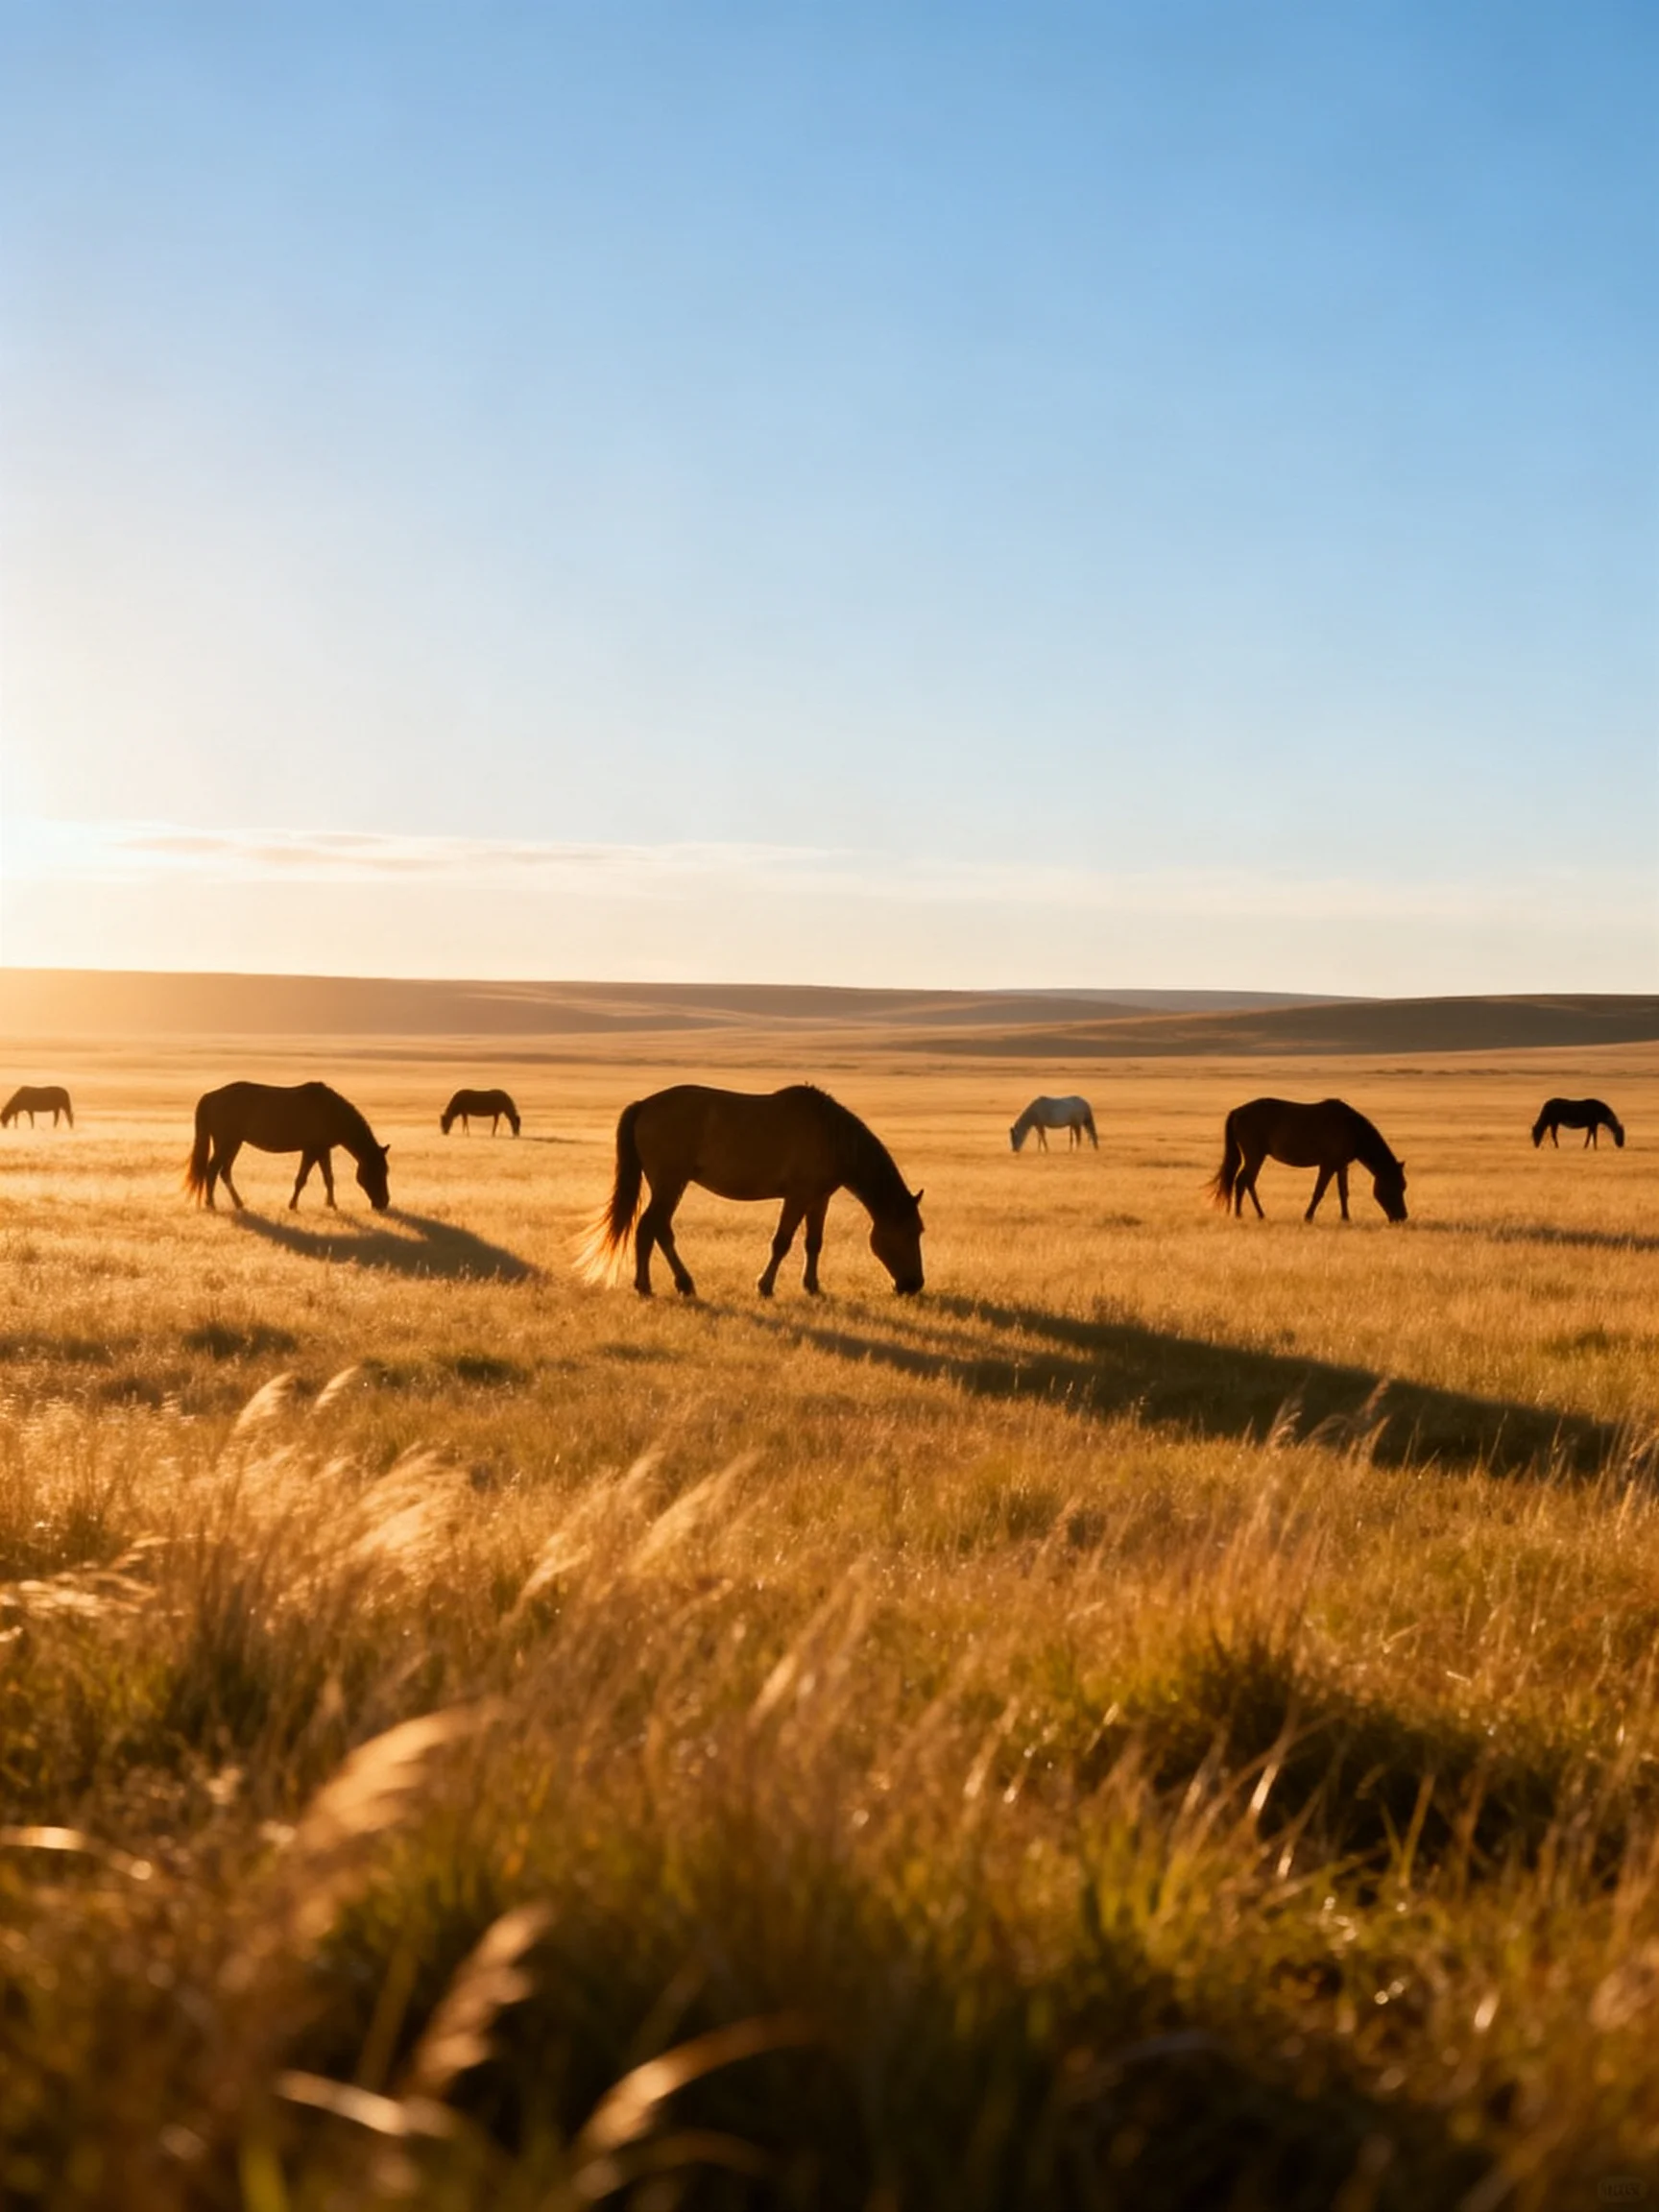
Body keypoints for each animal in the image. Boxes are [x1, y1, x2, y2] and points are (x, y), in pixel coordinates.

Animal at [184, 1082, 390, 1212]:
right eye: (377, 1171)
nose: (384, 1203)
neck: (331, 1112)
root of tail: (210, 1097)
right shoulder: (311, 1150)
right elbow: (301, 1179)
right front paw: (293, 1206)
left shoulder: (323, 1150)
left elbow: (328, 1178)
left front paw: (331, 1205)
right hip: (227, 1142)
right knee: (212, 1170)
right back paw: (211, 1204)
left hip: (233, 1143)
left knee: (224, 1172)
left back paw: (238, 1203)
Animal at [578, 1083, 925, 1298]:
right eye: (912, 1232)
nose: (914, 1285)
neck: (831, 1137)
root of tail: (644, 1106)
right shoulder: (797, 1197)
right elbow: (781, 1242)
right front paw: (765, 1286)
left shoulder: (818, 1199)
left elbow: (813, 1243)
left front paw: (812, 1286)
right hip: (669, 1183)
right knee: (650, 1226)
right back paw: (649, 1286)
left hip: (672, 1185)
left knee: (659, 1228)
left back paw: (680, 1284)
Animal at [1209, 1097, 1407, 1224]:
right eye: (1394, 1187)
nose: (1402, 1217)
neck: (1352, 1130)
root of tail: (1237, 1112)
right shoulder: (1327, 1165)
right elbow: (1318, 1192)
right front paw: (1308, 1217)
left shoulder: (1341, 1166)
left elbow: (1343, 1193)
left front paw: (1345, 1217)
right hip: (1255, 1156)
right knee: (1244, 1181)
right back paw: (1249, 1214)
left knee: (1245, 1181)